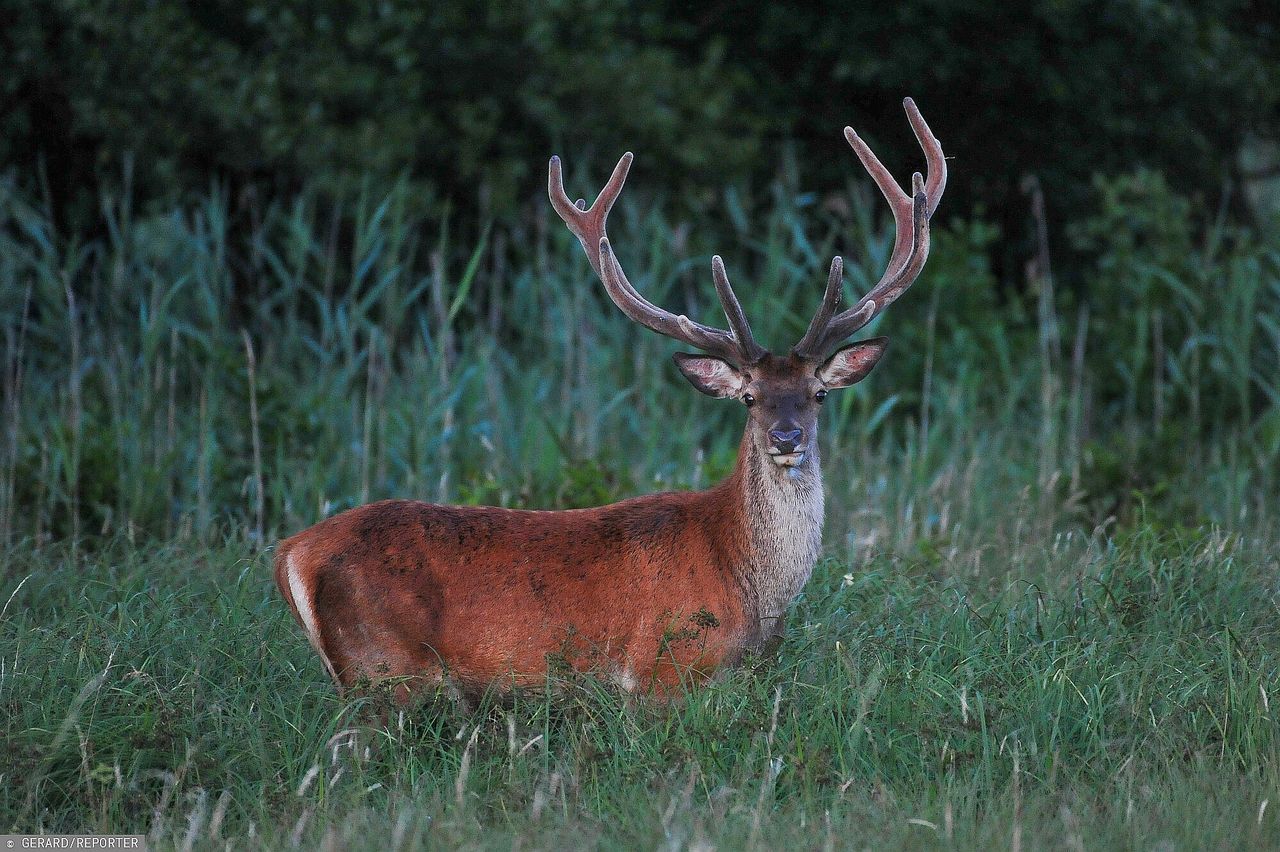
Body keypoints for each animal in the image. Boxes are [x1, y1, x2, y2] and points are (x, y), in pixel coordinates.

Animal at [275, 97, 947, 701]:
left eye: (819, 393)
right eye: (750, 398)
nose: (788, 437)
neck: (743, 583)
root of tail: (292, 553)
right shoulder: (661, 670)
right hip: (387, 669)